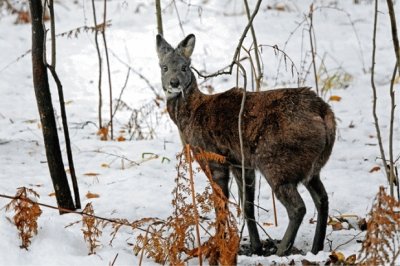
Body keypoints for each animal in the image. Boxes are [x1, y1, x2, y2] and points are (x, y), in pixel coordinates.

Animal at [156, 33, 334, 256]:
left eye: (184, 67)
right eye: (164, 67)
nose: (174, 83)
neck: (191, 114)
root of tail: (324, 113)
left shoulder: (213, 157)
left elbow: (221, 204)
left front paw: (218, 245)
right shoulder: (241, 162)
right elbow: (248, 206)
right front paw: (255, 247)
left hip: (276, 163)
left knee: (298, 207)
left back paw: (281, 250)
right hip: (310, 167)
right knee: (322, 199)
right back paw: (316, 248)